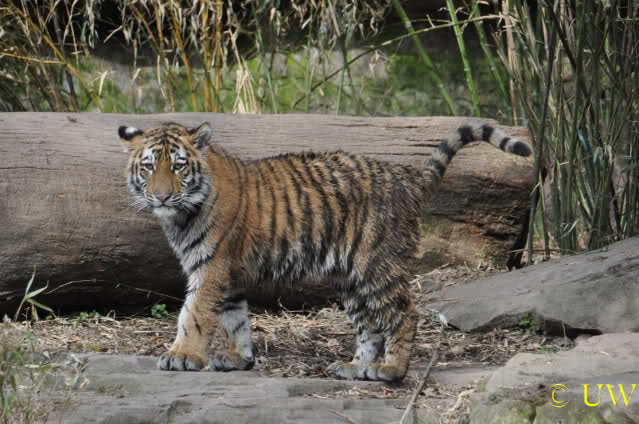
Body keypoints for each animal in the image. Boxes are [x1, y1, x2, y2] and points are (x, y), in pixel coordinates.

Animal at [118, 121, 531, 382]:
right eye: (149, 166)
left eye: (178, 166)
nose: (161, 196)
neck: (181, 216)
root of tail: (408, 175)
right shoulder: (229, 275)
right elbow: (235, 319)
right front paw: (240, 359)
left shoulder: (212, 268)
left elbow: (194, 314)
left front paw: (182, 356)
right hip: (350, 279)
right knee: (369, 326)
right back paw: (355, 368)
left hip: (377, 264)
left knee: (404, 314)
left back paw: (392, 371)